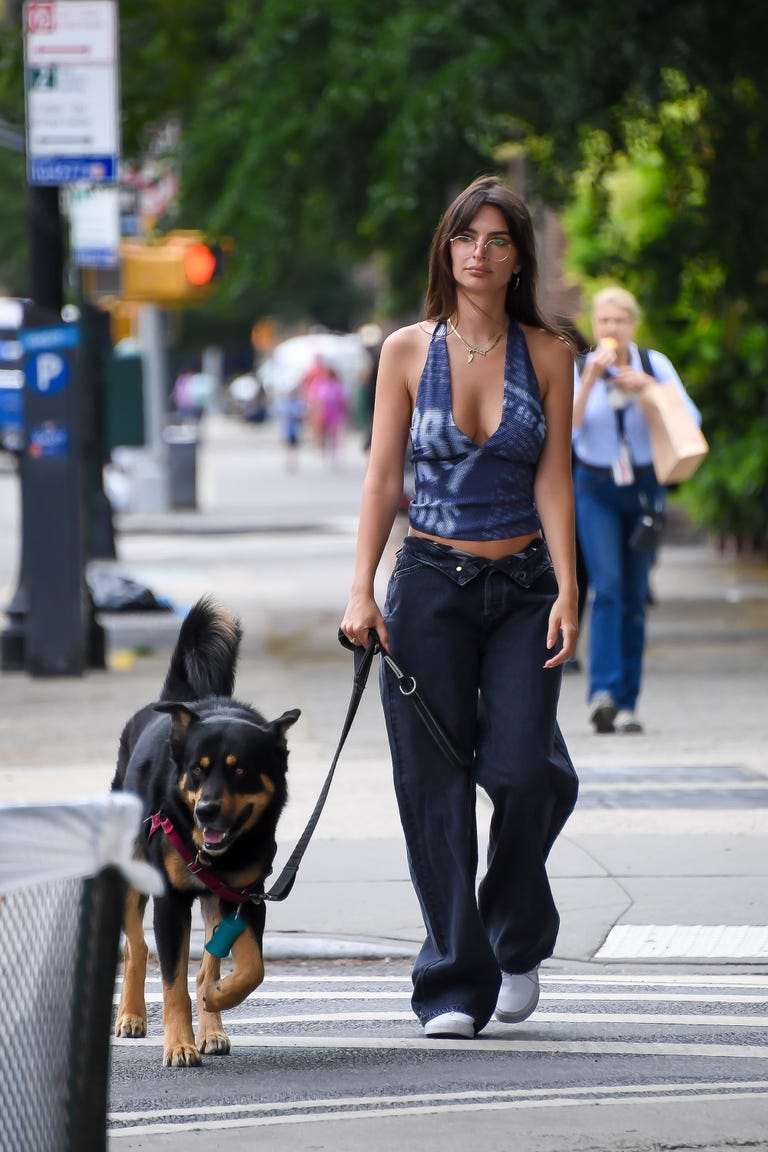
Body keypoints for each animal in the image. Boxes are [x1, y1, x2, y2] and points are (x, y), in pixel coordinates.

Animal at [113, 599, 299, 1064]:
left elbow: (250, 968)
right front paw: (179, 1045)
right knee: (137, 948)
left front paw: (217, 997)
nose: (206, 811)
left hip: (216, 901)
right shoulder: (170, 901)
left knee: (205, 963)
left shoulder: (246, 897)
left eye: (240, 771)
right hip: (133, 871)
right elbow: (172, 982)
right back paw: (132, 1016)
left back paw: (212, 1027)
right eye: (196, 771)